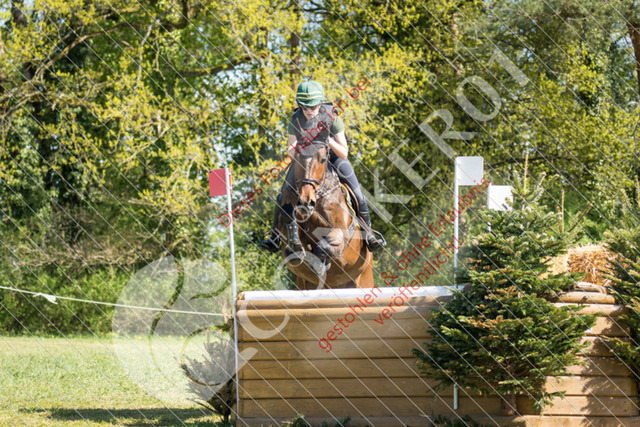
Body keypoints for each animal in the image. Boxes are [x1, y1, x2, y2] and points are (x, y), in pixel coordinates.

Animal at [277, 141, 373, 290]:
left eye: (322, 159)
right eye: (297, 159)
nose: (306, 201)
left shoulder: (342, 232)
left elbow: (325, 246)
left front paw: (322, 261)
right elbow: (292, 243)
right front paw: (296, 246)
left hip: (364, 279)